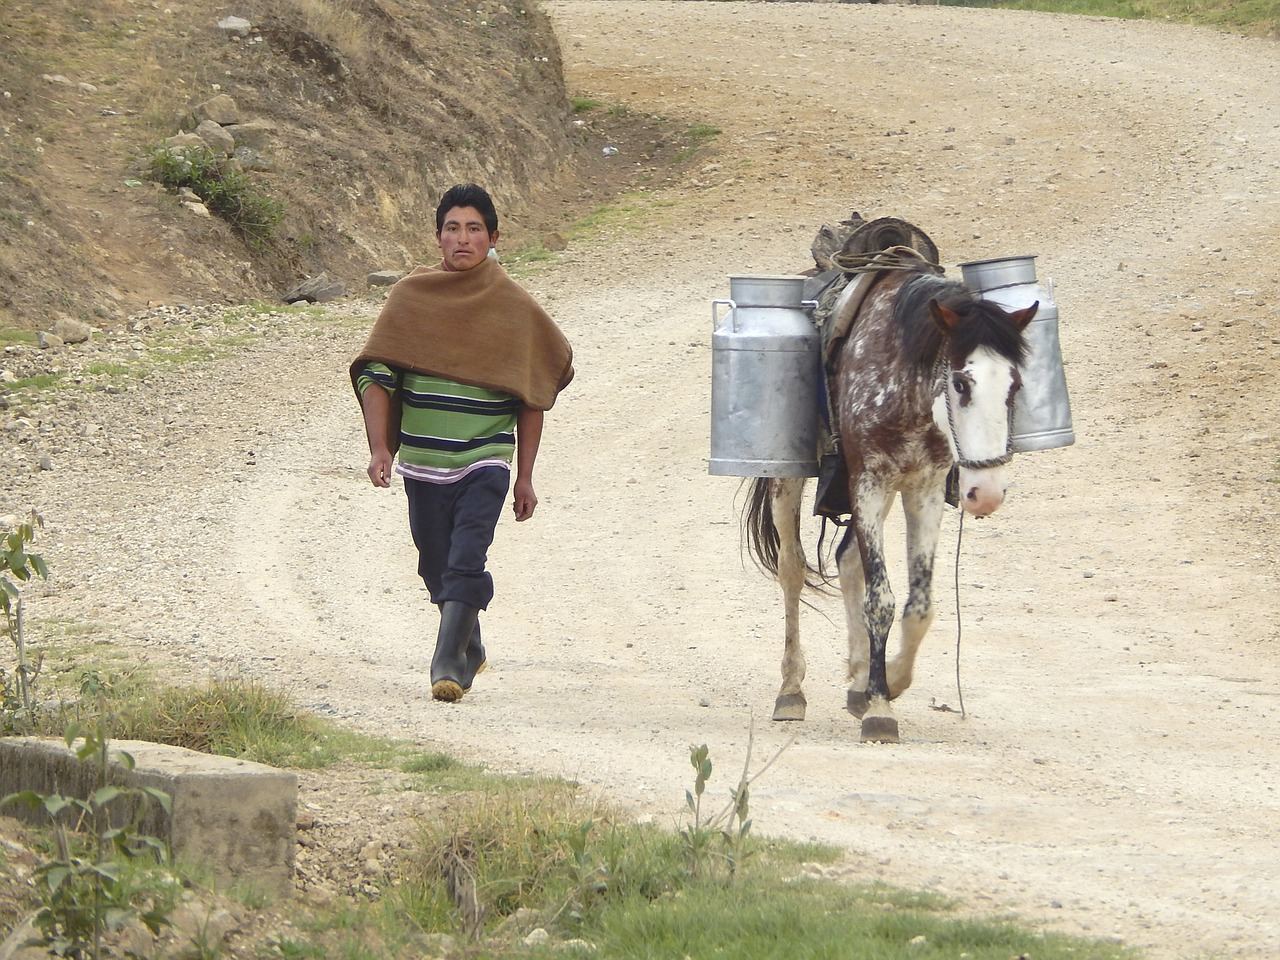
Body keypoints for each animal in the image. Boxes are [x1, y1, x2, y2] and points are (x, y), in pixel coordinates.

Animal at [747, 267, 1034, 747]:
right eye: (961, 383)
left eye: (1015, 384)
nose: (988, 492)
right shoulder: (870, 484)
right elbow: (880, 600)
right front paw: (880, 710)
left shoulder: (925, 491)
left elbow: (919, 607)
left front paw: (887, 683)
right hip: (790, 479)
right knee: (792, 569)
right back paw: (791, 691)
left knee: (846, 560)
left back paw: (860, 678)